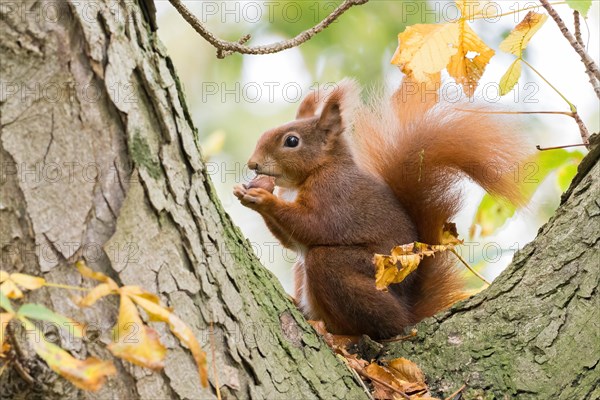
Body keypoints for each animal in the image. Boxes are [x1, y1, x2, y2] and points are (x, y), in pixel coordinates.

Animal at [234, 79, 528, 340]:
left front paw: (263, 198)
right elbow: (292, 242)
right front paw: (246, 192)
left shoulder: (335, 194)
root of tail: (408, 315)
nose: (252, 164)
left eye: (292, 141)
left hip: (361, 275)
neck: (318, 169)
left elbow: (315, 226)